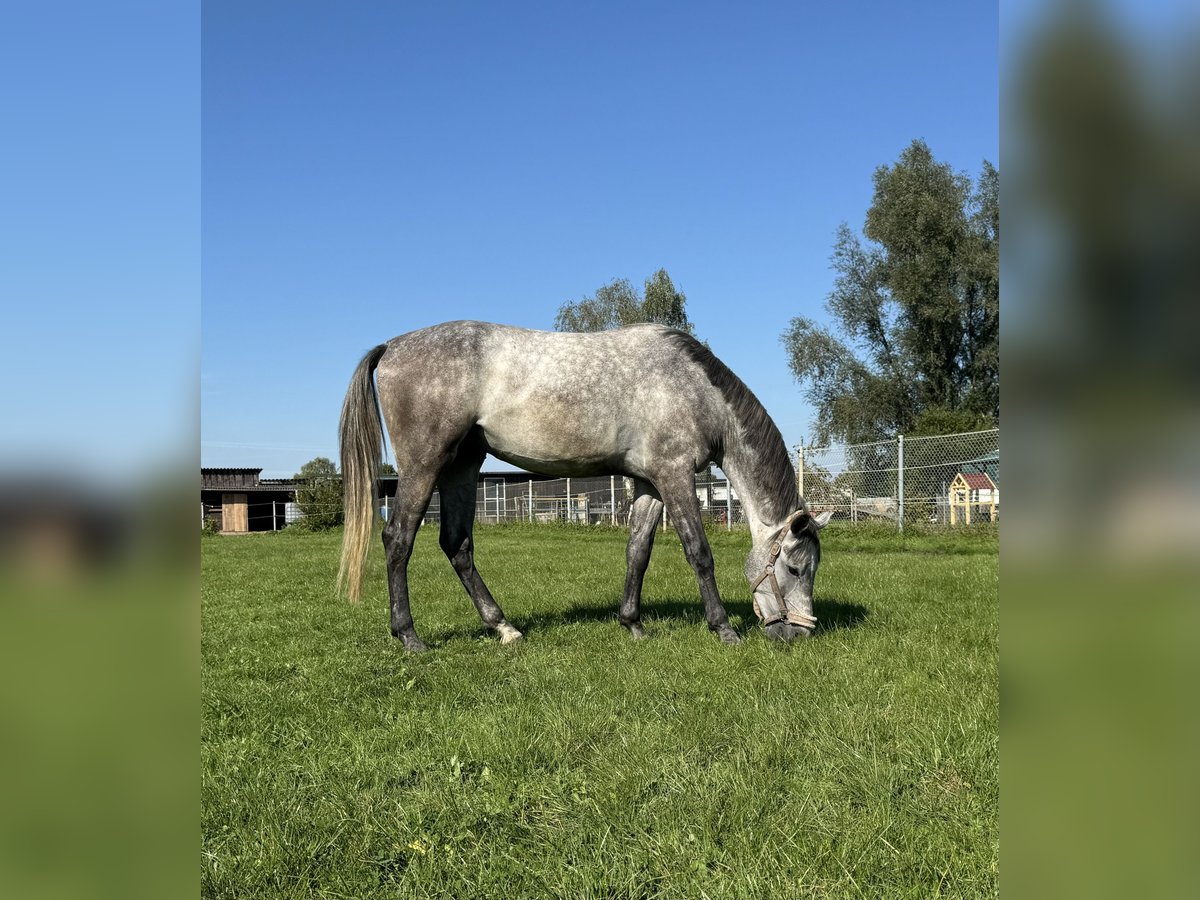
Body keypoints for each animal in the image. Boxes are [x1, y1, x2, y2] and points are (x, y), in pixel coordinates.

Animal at [336, 321, 825, 652]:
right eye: (795, 568)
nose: (799, 634)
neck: (694, 388)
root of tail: (392, 346)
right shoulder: (675, 476)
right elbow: (698, 553)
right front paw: (723, 628)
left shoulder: (649, 482)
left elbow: (638, 551)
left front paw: (633, 624)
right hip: (425, 464)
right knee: (398, 540)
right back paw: (410, 637)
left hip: (463, 466)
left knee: (456, 544)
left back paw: (504, 628)